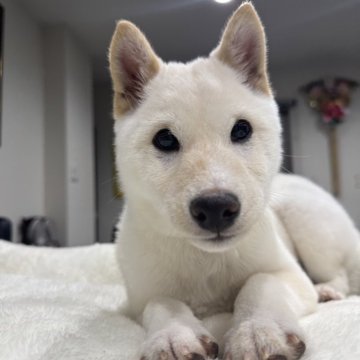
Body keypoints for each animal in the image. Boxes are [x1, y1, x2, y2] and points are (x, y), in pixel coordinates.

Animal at [107, 2, 360, 360]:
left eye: (242, 129)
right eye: (164, 140)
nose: (216, 208)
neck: (207, 259)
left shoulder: (289, 274)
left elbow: (261, 283)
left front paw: (257, 329)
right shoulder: (135, 301)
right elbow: (161, 301)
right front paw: (174, 335)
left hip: (310, 223)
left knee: (341, 276)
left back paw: (327, 290)